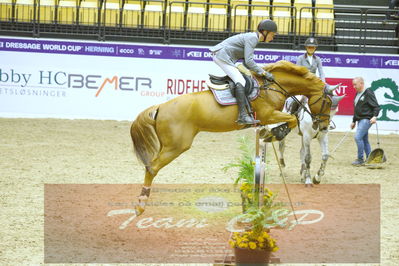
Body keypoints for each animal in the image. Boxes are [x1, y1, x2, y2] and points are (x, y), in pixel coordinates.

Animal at [132, 59, 334, 214]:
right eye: (328, 102)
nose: (322, 126)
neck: (271, 87)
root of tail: (160, 107)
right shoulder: (268, 114)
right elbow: (291, 120)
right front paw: (275, 133)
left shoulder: (269, 117)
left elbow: (286, 123)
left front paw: (268, 133)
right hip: (176, 146)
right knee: (152, 168)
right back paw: (141, 205)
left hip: (169, 145)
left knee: (151, 167)